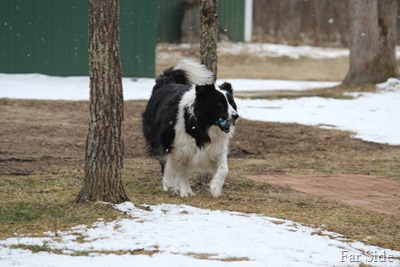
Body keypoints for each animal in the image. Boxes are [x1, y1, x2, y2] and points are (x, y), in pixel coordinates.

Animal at [142, 61, 239, 199]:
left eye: (232, 104)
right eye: (220, 106)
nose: (236, 116)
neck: (202, 125)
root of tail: (166, 82)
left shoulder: (216, 148)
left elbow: (224, 168)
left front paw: (215, 187)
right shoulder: (179, 148)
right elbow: (181, 171)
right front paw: (185, 191)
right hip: (160, 137)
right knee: (164, 161)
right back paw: (168, 184)